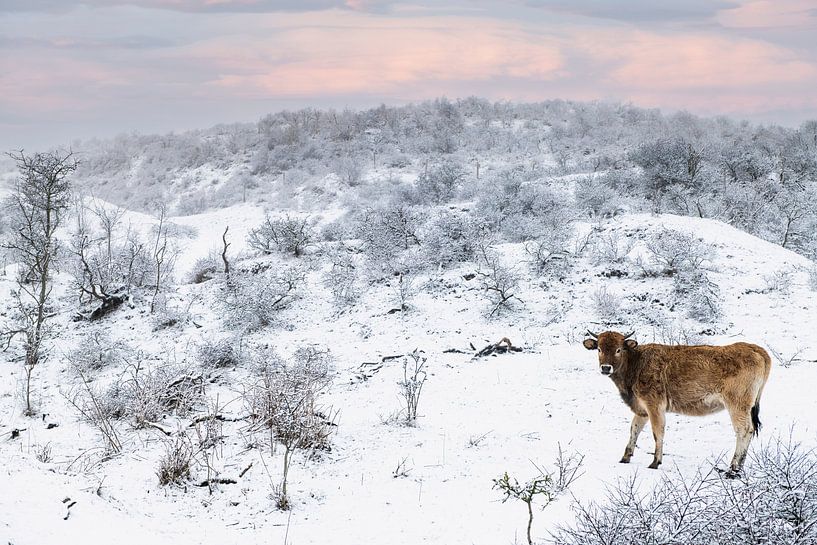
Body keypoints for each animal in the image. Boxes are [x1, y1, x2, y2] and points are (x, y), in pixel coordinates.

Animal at [584, 330, 768, 474]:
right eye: (599, 349)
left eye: (618, 349)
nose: (605, 368)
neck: (637, 363)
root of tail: (755, 349)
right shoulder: (642, 409)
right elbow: (634, 430)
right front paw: (625, 457)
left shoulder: (654, 406)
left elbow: (657, 432)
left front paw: (655, 462)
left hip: (737, 405)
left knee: (744, 430)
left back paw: (733, 468)